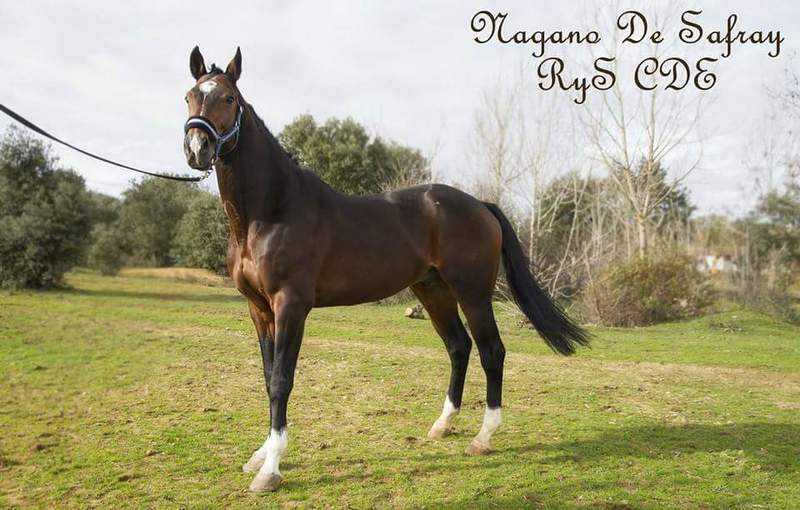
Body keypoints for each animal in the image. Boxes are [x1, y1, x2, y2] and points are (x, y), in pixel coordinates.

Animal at [182, 47, 589, 493]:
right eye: (189, 96)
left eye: (228, 99)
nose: (198, 147)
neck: (272, 211)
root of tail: (481, 205)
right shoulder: (258, 309)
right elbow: (268, 374)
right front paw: (259, 457)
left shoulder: (291, 306)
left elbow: (281, 381)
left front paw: (270, 470)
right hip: (434, 291)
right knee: (459, 347)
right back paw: (443, 425)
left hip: (473, 292)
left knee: (491, 351)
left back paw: (483, 438)